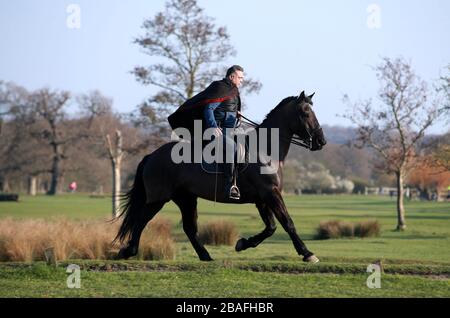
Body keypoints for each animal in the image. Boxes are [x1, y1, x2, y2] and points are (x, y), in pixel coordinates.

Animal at [115, 90, 326, 262]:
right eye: (306, 113)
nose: (321, 141)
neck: (265, 150)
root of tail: (152, 156)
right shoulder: (270, 193)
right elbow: (287, 223)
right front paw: (307, 253)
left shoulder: (263, 199)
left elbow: (271, 227)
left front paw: (243, 243)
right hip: (158, 199)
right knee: (141, 221)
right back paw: (128, 251)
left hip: (186, 199)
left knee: (189, 228)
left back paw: (205, 256)